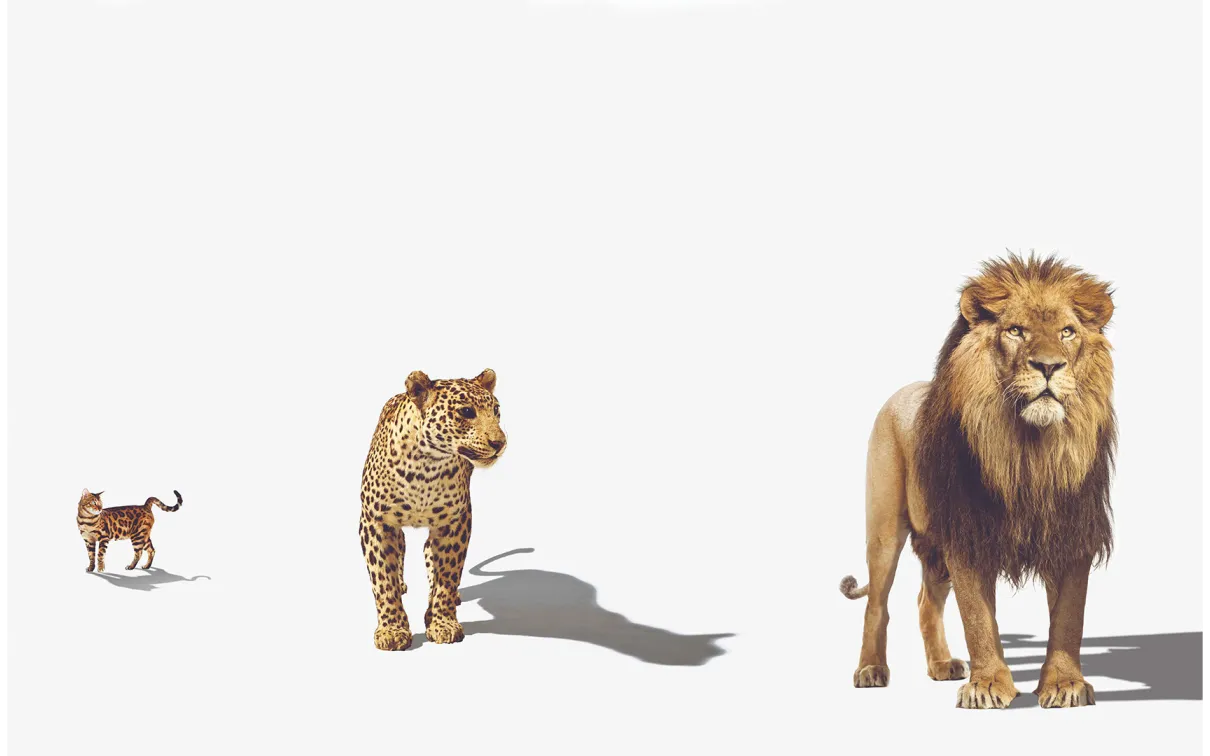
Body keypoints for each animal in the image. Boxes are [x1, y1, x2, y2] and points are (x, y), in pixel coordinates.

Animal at [840, 254, 1116, 709]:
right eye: (1015, 330)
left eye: (1067, 331)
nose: (1048, 366)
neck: (1029, 451)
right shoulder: (966, 532)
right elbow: (977, 619)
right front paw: (988, 686)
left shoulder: (1072, 530)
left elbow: (1069, 617)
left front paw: (1065, 685)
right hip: (884, 529)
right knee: (876, 604)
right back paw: (871, 670)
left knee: (925, 602)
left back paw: (942, 665)